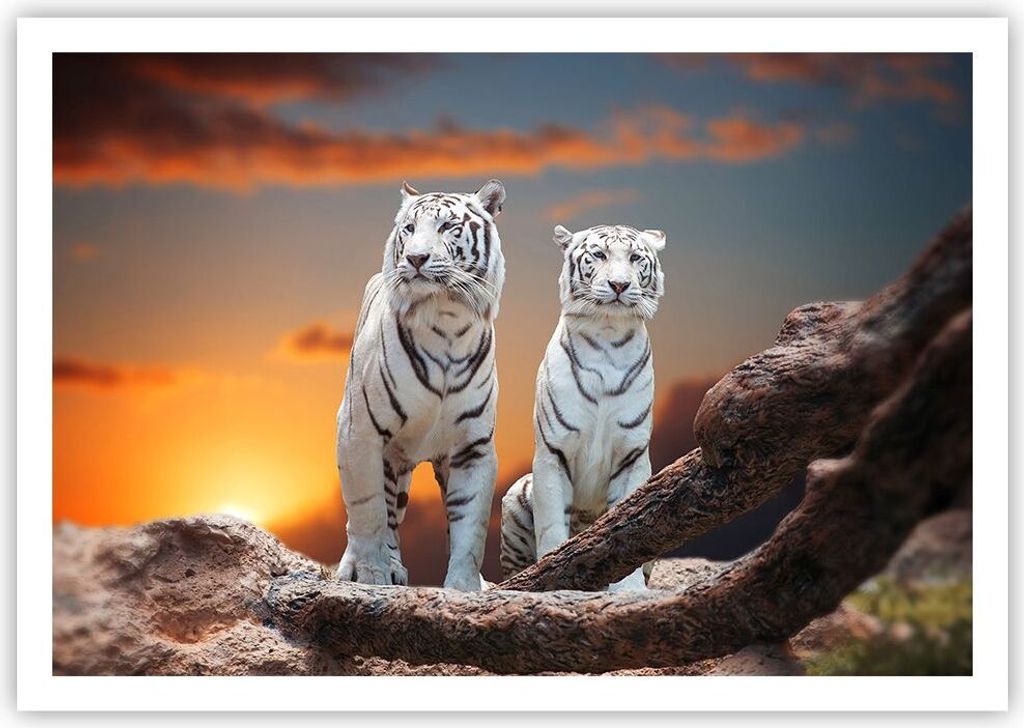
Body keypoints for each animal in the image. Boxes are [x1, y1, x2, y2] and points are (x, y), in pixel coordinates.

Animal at [335, 179, 506, 591]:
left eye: (447, 227)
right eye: (409, 229)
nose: (415, 258)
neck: (446, 317)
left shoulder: (473, 446)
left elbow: (470, 526)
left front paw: (464, 588)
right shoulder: (358, 431)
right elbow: (367, 514)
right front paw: (371, 576)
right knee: (379, 515)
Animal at [499, 222, 666, 591]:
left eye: (635, 258)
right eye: (599, 255)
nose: (619, 285)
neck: (608, 335)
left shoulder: (632, 455)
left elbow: (630, 525)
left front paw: (629, 590)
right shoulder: (552, 451)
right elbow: (551, 526)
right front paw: (551, 575)